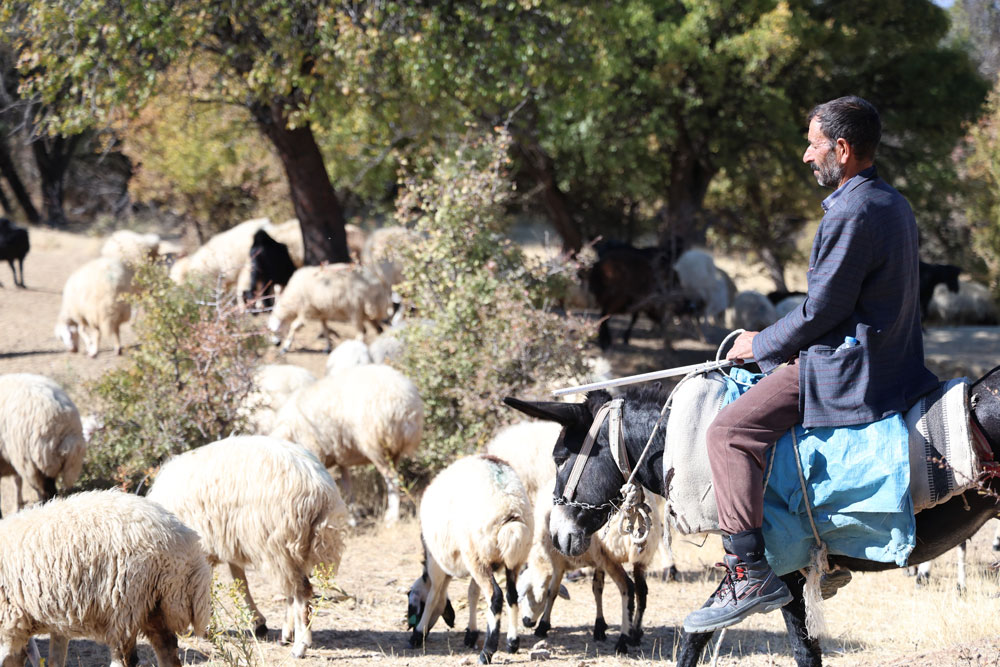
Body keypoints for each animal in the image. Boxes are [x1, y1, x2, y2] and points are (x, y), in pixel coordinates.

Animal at [0, 488, 209, 667]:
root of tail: (187, 541)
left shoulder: (9, 620)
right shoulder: (55, 619)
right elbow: (54, 658)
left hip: (126, 602)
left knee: (125, 657)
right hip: (155, 604)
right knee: (167, 649)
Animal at [146, 436, 350, 660]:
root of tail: (320, 488)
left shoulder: (205, 547)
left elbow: (212, 586)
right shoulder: (227, 539)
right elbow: (240, 581)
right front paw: (257, 622)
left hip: (279, 541)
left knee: (301, 591)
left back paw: (300, 645)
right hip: (293, 545)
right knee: (294, 589)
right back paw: (287, 634)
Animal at [268, 362, 420, 524]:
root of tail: (408, 404)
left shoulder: (315, 450)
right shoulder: (340, 455)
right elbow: (347, 484)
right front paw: (352, 516)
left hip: (375, 444)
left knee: (391, 478)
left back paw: (392, 517)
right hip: (394, 451)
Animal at [406, 454, 536, 664]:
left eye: (413, 606)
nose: (410, 627)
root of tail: (510, 509)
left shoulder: (437, 562)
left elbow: (434, 596)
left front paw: (418, 634)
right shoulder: (480, 562)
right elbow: (472, 593)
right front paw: (471, 634)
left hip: (477, 556)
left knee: (495, 596)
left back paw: (487, 653)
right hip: (510, 560)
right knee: (511, 595)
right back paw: (512, 643)